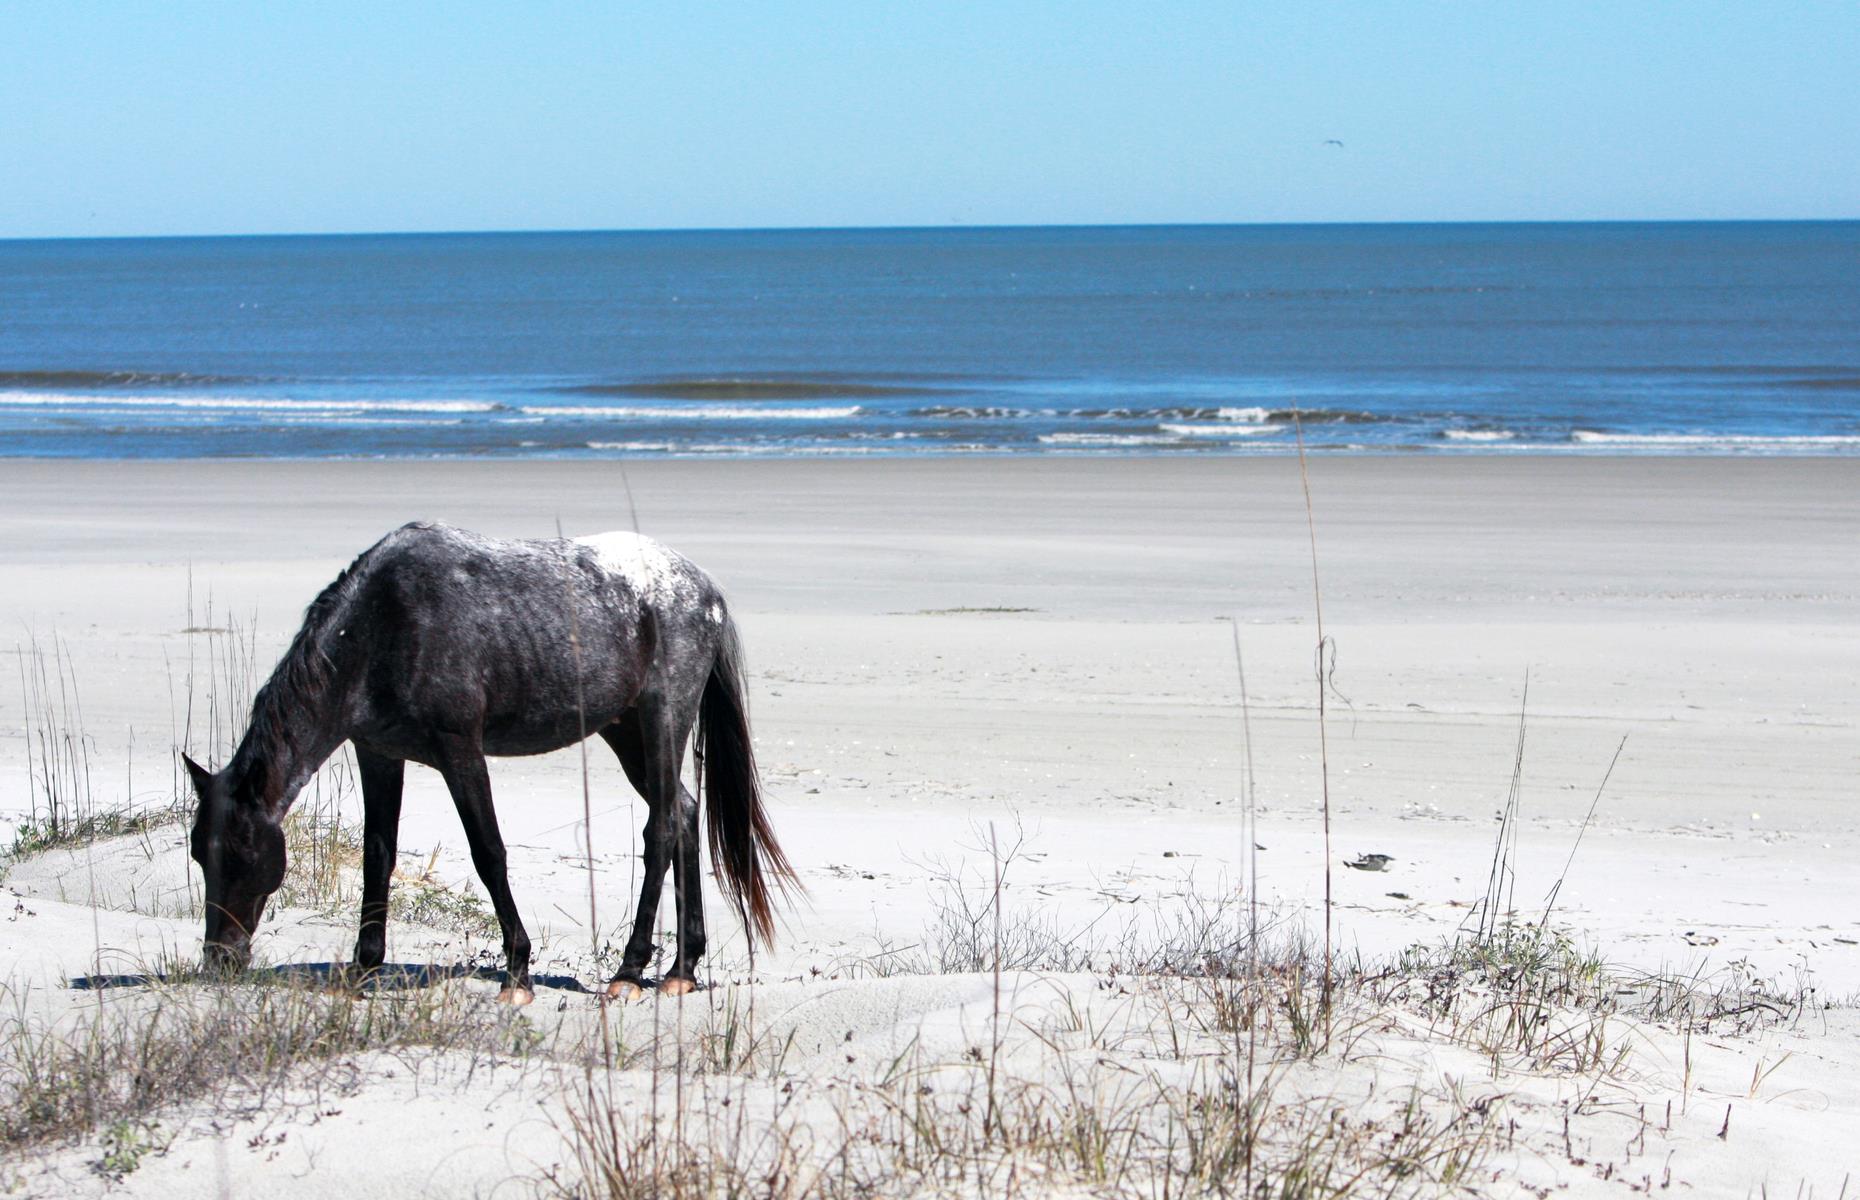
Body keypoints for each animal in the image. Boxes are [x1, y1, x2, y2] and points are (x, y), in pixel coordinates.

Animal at [185, 520, 796, 1004]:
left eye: (241, 853)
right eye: (198, 853)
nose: (220, 959)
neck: (383, 625)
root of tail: (705, 587)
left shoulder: (460, 751)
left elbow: (489, 854)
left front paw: (518, 974)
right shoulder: (378, 753)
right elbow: (377, 857)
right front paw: (363, 969)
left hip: (661, 718)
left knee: (663, 829)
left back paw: (630, 970)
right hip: (626, 733)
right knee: (684, 815)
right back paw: (682, 969)